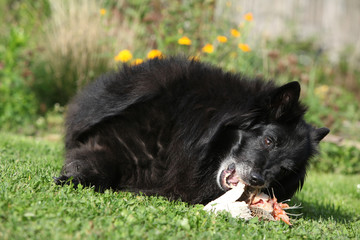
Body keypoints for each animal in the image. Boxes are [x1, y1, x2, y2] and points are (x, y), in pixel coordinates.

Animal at [54, 56, 330, 204]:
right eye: (269, 141)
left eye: (285, 170)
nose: (257, 180)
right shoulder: (114, 143)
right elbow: (97, 165)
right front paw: (71, 179)